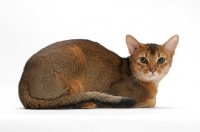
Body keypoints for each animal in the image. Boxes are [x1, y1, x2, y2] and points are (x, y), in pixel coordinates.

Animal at [18, 34, 178, 109]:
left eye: (161, 60)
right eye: (143, 60)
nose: (153, 69)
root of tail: (22, 81)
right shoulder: (116, 90)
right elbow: (152, 101)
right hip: (74, 51)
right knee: (65, 101)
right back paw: (88, 103)